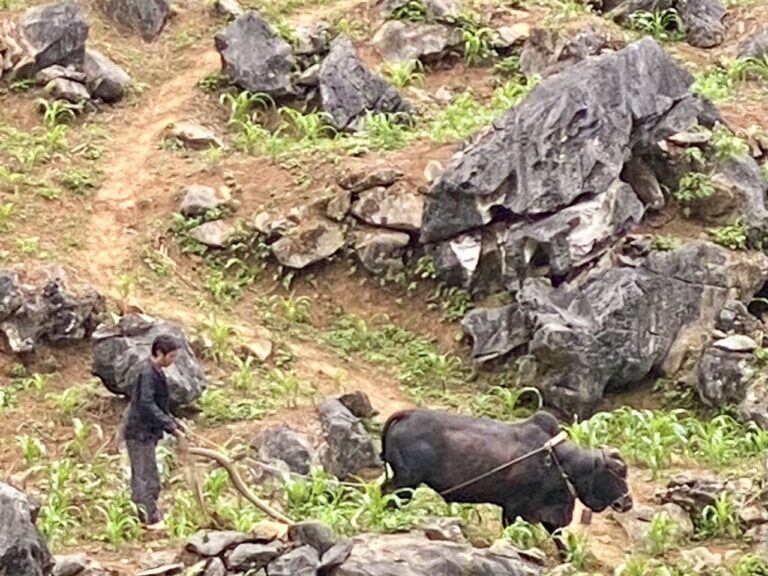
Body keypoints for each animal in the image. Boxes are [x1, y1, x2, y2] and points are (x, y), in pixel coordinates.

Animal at [380, 410, 632, 540]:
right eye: (618, 473)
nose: (627, 502)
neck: (561, 463)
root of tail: (407, 414)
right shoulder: (513, 510)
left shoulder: (547, 517)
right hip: (406, 482)